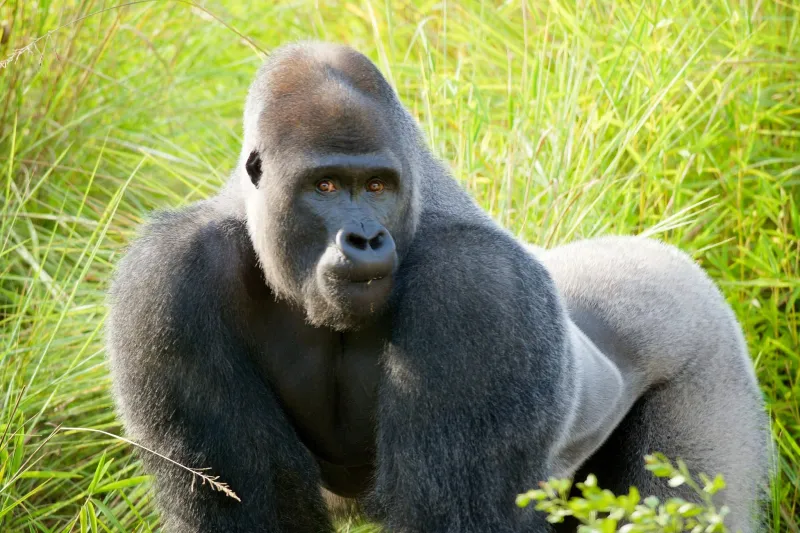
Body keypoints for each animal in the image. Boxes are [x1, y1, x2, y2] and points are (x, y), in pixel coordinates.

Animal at [106, 42, 769, 533]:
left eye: (377, 186)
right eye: (326, 186)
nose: (364, 238)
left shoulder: (480, 290)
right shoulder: (167, 281)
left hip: (704, 342)